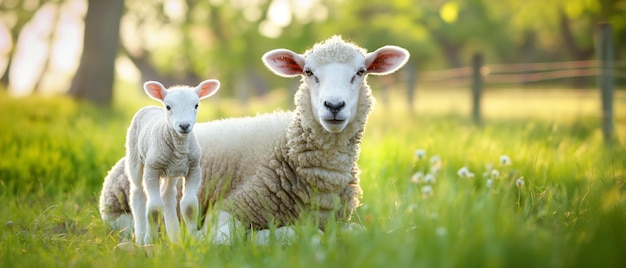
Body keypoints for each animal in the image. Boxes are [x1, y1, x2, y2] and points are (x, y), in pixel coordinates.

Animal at [124, 80, 219, 245]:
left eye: (196, 105)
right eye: (168, 107)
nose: (184, 125)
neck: (179, 145)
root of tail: (150, 106)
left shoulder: (194, 168)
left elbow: (189, 205)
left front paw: (192, 239)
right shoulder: (152, 169)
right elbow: (154, 208)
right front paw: (150, 240)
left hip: (172, 172)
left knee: (167, 195)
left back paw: (174, 237)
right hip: (135, 159)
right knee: (137, 193)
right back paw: (141, 237)